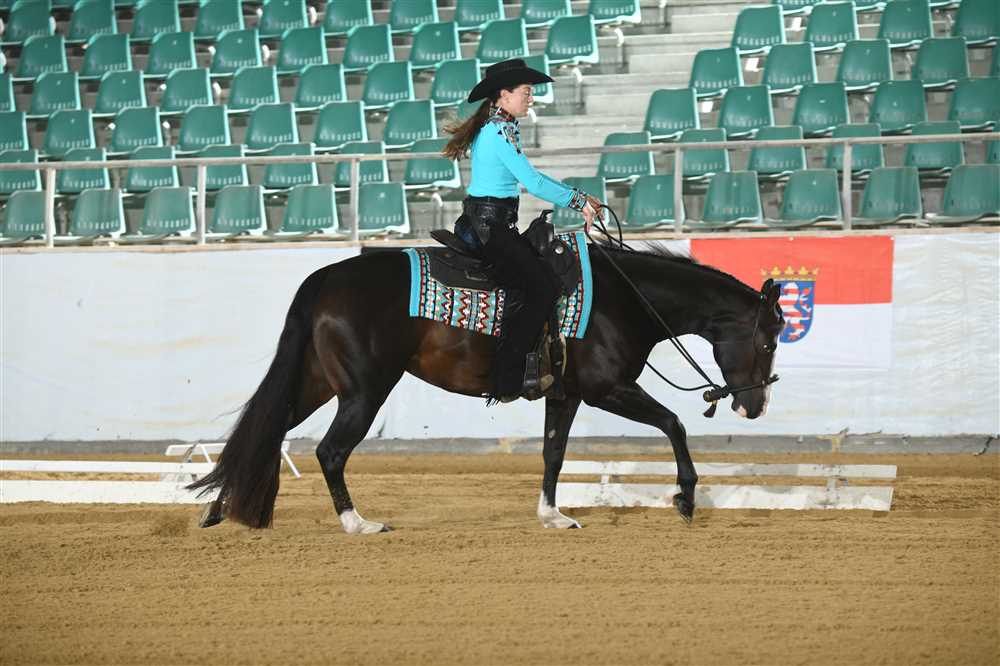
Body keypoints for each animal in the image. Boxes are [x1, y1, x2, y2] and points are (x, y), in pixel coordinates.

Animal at [189, 240, 785, 533]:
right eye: (769, 341)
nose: (756, 406)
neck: (622, 299)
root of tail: (326, 278)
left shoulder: (565, 395)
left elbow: (553, 455)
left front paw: (552, 516)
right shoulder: (606, 389)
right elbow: (673, 422)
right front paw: (685, 497)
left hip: (317, 382)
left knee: (265, 431)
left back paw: (219, 510)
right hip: (364, 390)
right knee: (330, 451)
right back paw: (358, 524)